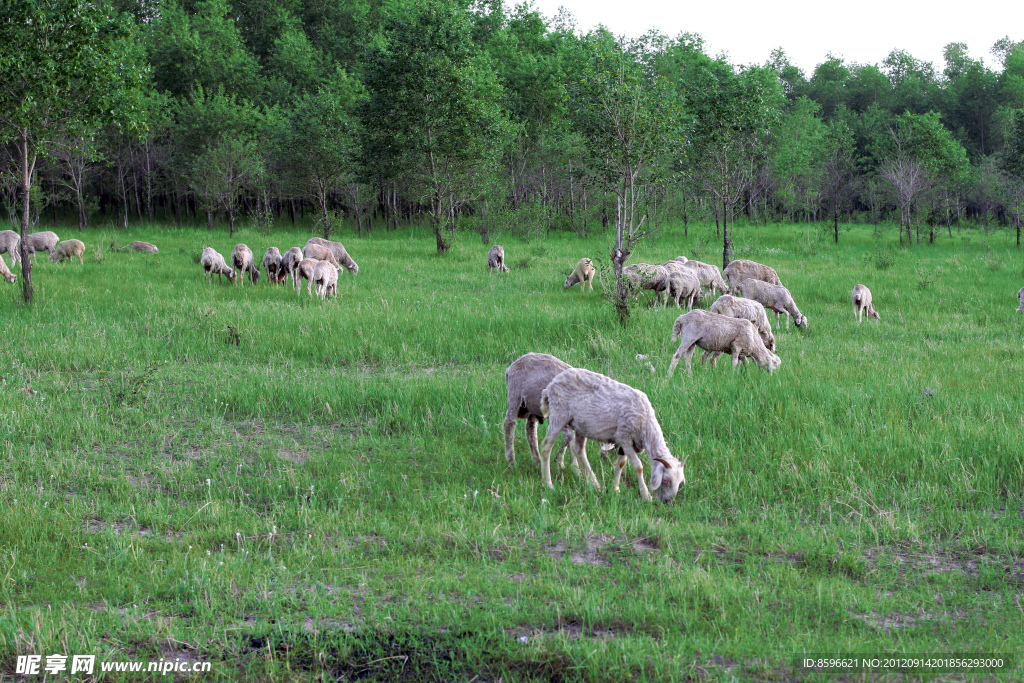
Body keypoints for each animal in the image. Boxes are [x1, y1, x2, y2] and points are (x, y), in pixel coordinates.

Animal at [536, 368, 688, 501]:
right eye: (666, 480)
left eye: (680, 482)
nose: (668, 501)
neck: (646, 424)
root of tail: (550, 386)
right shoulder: (625, 437)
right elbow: (638, 466)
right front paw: (646, 495)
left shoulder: (625, 440)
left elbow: (621, 463)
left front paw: (615, 488)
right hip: (559, 414)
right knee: (546, 446)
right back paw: (548, 484)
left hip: (581, 425)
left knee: (578, 449)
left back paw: (594, 484)